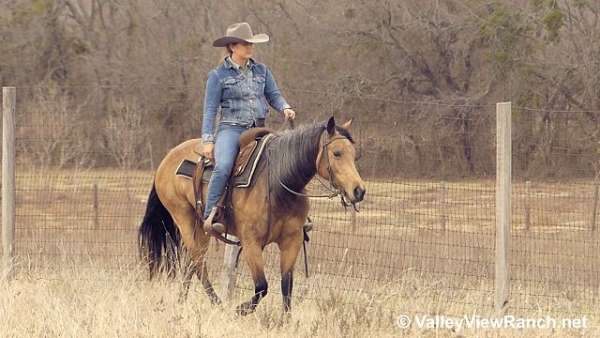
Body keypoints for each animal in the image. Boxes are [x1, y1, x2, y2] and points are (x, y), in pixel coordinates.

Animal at [138, 115, 366, 314]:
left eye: (354, 154)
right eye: (337, 153)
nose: (359, 191)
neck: (277, 182)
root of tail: (168, 158)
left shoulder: (291, 240)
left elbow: (286, 286)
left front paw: (285, 322)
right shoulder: (250, 242)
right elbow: (262, 286)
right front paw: (241, 310)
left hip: (200, 227)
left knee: (191, 262)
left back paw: (182, 301)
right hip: (183, 218)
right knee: (198, 261)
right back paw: (217, 303)